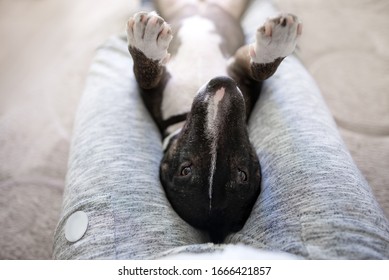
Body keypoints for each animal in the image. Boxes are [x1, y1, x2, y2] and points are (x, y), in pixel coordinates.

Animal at [126, 0, 302, 242]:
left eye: (242, 174)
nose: (222, 88)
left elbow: (261, 70)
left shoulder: (243, 76)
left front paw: (277, 42)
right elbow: (146, 75)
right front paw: (147, 43)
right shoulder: (153, 91)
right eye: (185, 169)